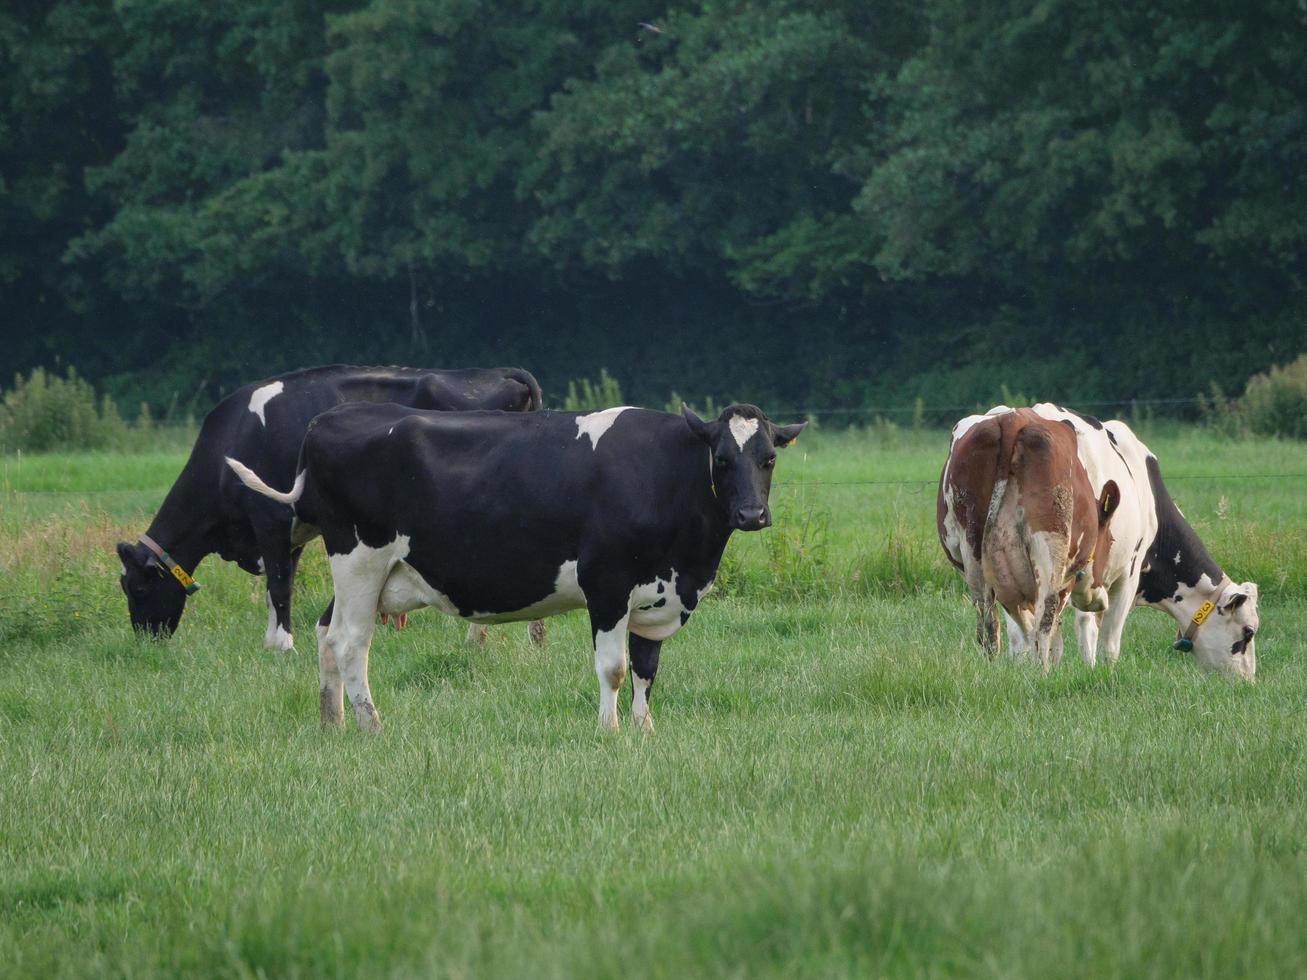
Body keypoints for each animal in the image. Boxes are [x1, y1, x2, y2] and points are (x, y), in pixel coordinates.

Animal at [112, 363, 541, 653]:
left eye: (138, 587)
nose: (146, 641)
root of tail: (501, 372)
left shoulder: (270, 517)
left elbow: (279, 584)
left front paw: (283, 645)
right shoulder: (292, 532)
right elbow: (279, 584)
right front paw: (272, 640)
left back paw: (482, 638)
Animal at [224, 399, 799, 731]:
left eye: (768, 458)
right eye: (722, 459)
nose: (752, 514)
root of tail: (327, 419)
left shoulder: (659, 594)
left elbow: (646, 668)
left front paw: (644, 731)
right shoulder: (607, 584)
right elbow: (613, 668)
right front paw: (609, 733)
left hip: (369, 573)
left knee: (326, 633)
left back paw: (333, 722)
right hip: (360, 558)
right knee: (349, 642)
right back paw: (371, 725)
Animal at [941, 410, 1124, 674]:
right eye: (1110, 540)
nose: (1098, 601)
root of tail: (1011, 419)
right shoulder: (1065, 579)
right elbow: (1051, 628)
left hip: (973, 545)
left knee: (987, 621)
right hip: (1050, 543)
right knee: (1045, 616)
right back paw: (1042, 671)